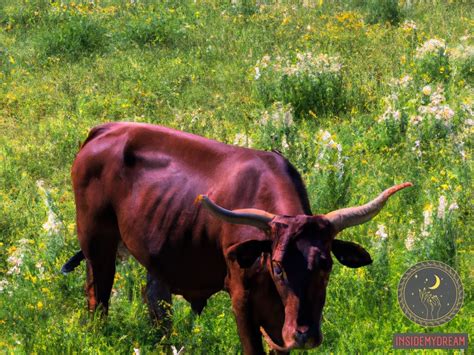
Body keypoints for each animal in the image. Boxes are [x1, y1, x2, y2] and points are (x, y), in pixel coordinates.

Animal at [64, 122, 412, 354]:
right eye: (278, 267)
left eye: (326, 264)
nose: (304, 334)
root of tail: (105, 129)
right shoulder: (242, 301)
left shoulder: (279, 321)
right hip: (96, 245)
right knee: (98, 298)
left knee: (156, 302)